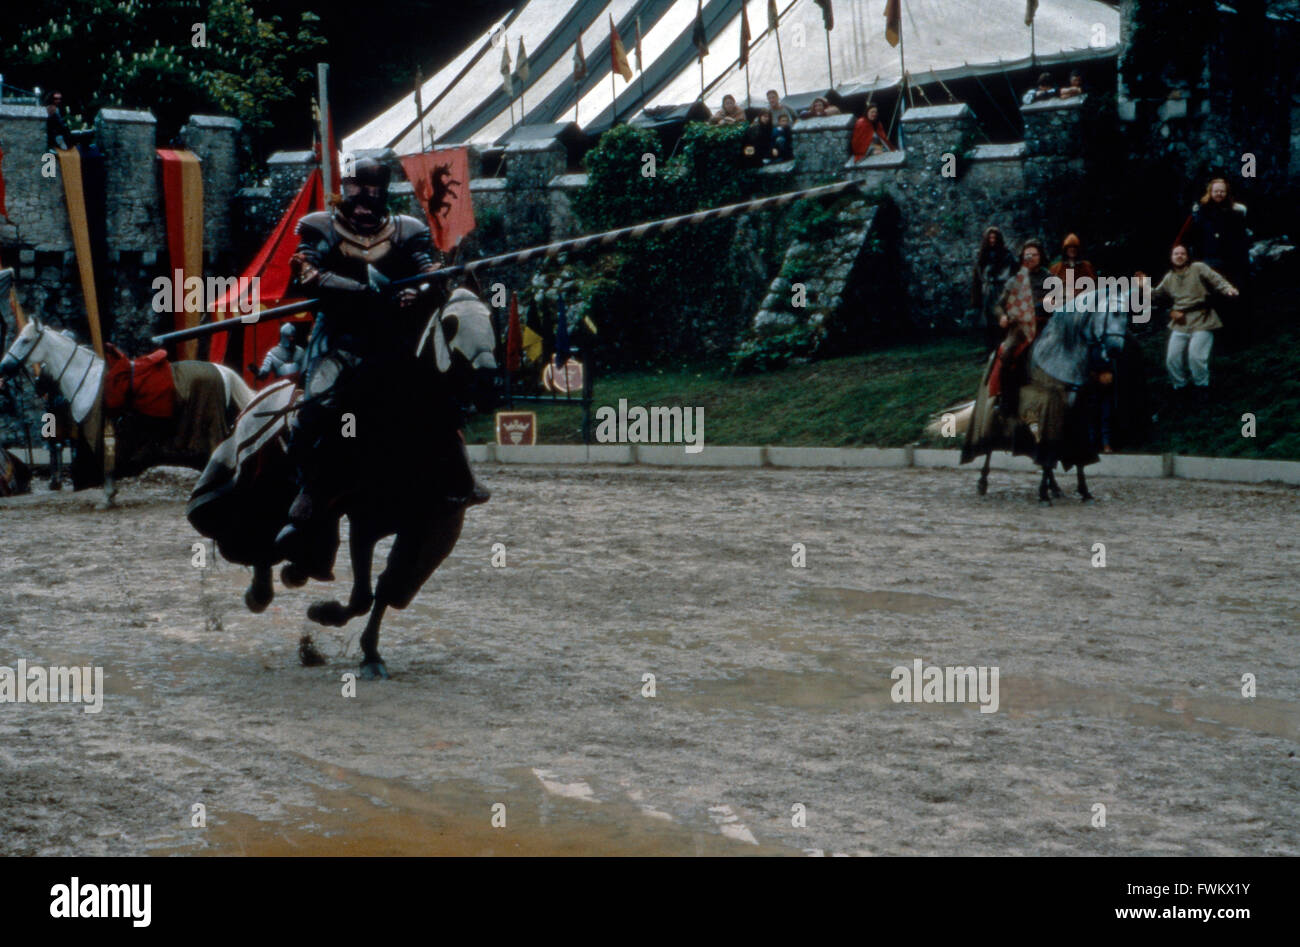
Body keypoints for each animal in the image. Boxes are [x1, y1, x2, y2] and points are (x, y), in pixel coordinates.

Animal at [0, 314, 253, 507]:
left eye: (25, 340)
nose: (4, 366)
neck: (87, 379)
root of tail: (221, 370)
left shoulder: (101, 434)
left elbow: (107, 467)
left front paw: (106, 499)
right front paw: (110, 496)